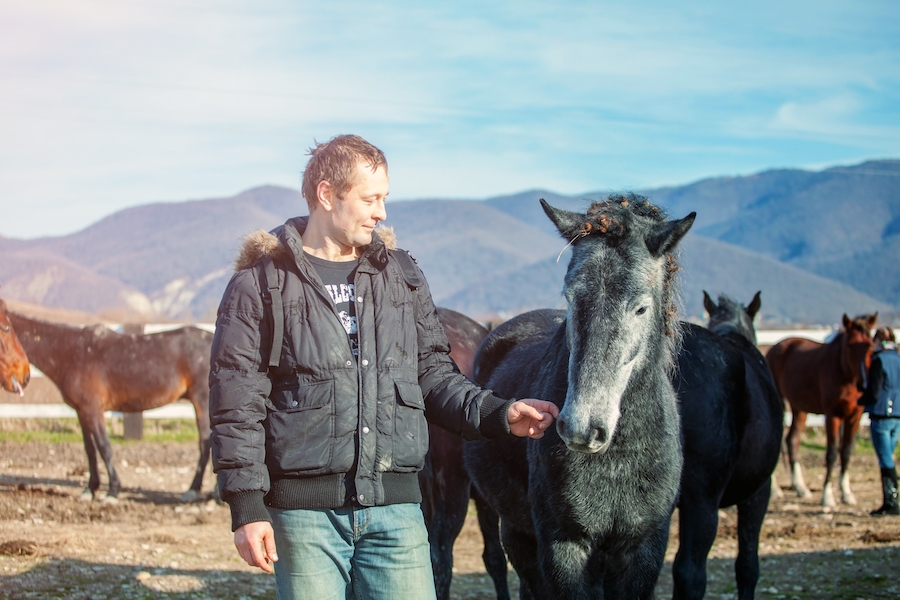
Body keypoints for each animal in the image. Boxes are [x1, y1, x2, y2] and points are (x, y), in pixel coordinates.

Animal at [9, 310, 214, 502]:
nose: (23, 379)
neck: (70, 352)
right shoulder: (82, 411)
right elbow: (90, 450)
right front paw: (90, 489)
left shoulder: (94, 409)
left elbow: (104, 447)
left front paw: (113, 491)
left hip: (202, 402)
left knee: (205, 443)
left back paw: (193, 490)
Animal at [764, 314, 876, 506]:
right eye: (849, 346)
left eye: (870, 345)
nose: (864, 384)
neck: (844, 373)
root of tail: (775, 347)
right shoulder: (832, 415)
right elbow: (831, 454)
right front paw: (827, 496)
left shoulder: (855, 416)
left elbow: (846, 451)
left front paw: (846, 493)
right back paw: (777, 490)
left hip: (799, 408)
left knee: (792, 440)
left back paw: (801, 488)